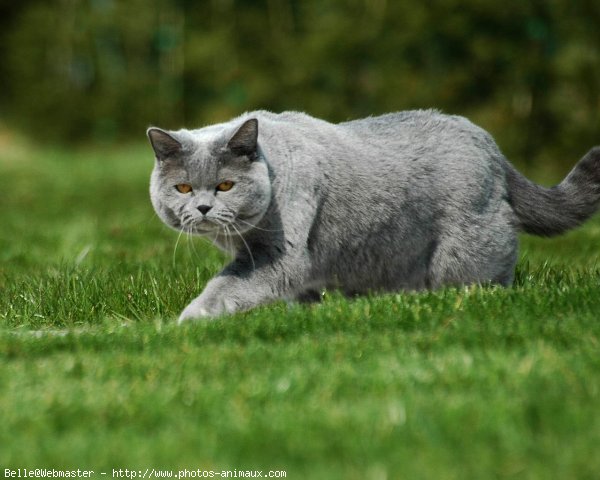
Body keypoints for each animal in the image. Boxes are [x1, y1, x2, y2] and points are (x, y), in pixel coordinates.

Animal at [145, 110, 600, 324]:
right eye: (183, 188)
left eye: (225, 185)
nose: (203, 207)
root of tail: (490, 143)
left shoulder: (277, 254)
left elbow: (226, 286)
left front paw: (186, 322)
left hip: (465, 250)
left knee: (481, 281)